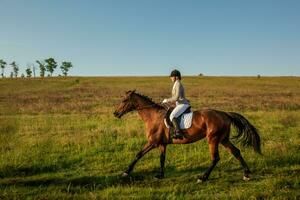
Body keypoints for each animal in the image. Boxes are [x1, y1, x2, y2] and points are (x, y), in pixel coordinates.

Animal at [113, 90, 262, 183]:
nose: (115, 113)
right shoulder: (162, 144)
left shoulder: (153, 142)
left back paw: (203, 178)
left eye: (124, 100)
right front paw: (160, 175)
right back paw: (246, 174)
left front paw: (126, 172)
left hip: (213, 139)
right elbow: (162, 159)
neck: (153, 116)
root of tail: (224, 113)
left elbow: (138, 154)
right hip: (223, 139)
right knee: (236, 152)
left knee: (215, 158)